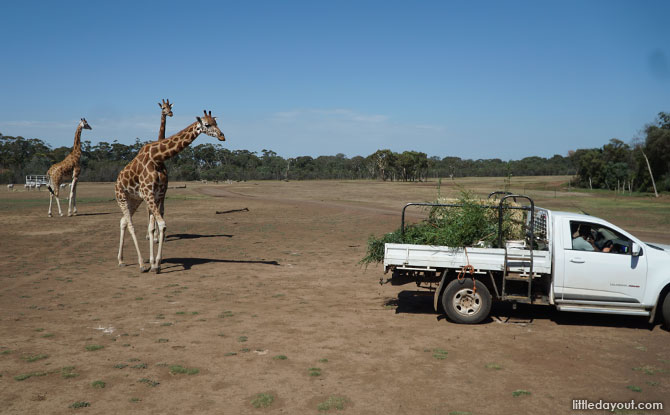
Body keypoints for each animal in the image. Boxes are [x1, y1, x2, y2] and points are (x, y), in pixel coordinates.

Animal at [117, 109, 227, 272]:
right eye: (207, 124)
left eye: (216, 122)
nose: (222, 136)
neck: (157, 157)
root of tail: (117, 180)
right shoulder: (148, 193)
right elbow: (161, 225)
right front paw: (154, 265)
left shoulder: (157, 194)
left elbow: (154, 226)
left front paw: (155, 262)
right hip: (121, 197)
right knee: (130, 224)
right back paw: (141, 264)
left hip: (134, 200)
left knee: (123, 221)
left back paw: (121, 260)